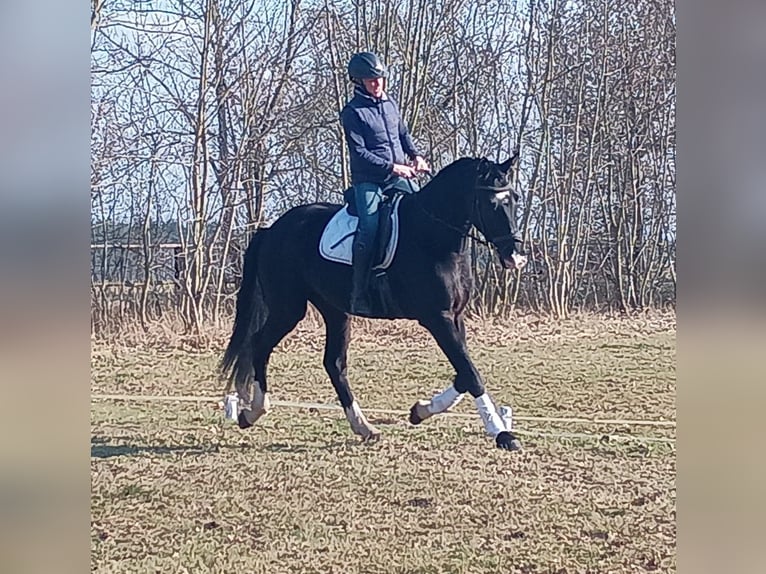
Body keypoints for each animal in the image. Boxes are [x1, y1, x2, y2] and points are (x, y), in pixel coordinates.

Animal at [219, 154, 528, 450]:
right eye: (491, 203)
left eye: (514, 199)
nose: (515, 257)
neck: (432, 236)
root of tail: (271, 230)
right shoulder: (436, 318)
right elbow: (471, 373)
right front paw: (501, 433)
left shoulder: (455, 315)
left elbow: (463, 373)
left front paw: (419, 411)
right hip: (288, 309)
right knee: (260, 345)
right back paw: (253, 412)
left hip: (335, 311)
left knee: (334, 364)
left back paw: (363, 427)